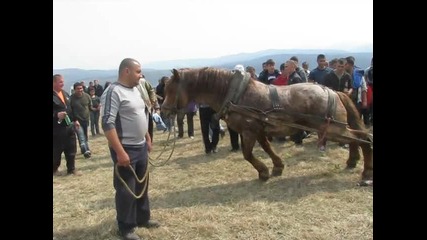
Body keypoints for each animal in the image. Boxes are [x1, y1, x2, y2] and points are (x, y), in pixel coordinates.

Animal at [162, 67, 372, 186]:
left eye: (171, 89)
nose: (163, 111)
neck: (236, 94)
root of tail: (335, 92)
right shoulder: (258, 130)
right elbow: (267, 147)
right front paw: (277, 167)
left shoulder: (248, 131)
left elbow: (248, 154)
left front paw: (263, 172)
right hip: (334, 129)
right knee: (355, 139)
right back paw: (352, 161)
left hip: (332, 129)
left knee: (363, 138)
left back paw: (366, 173)